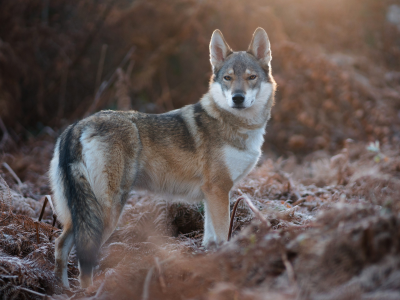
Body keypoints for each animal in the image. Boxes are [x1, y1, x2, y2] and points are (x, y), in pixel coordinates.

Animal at [49, 27, 276, 288]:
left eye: (251, 77)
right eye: (228, 78)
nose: (237, 98)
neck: (236, 125)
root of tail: (77, 125)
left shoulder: (210, 195)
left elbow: (210, 240)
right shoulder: (219, 190)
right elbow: (223, 237)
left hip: (79, 214)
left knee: (60, 246)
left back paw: (64, 290)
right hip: (107, 213)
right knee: (83, 257)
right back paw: (89, 290)